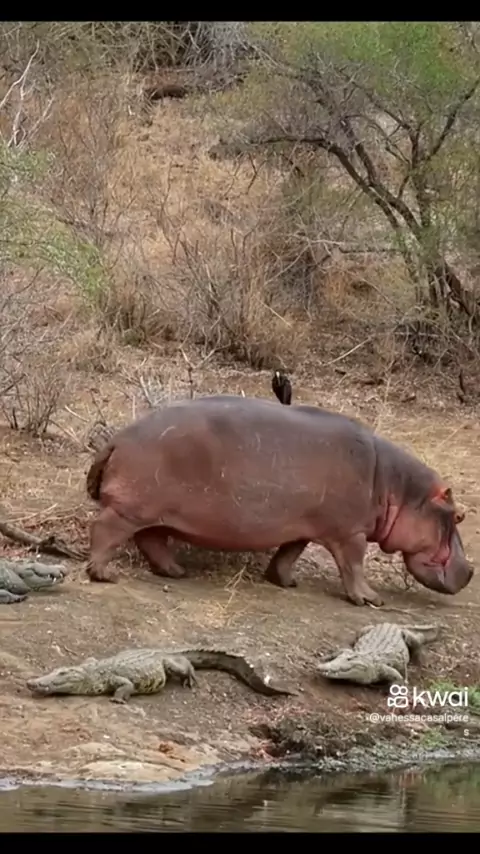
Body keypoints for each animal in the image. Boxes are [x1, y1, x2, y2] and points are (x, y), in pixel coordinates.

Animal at [84, 395, 472, 606]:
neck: (398, 488)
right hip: (131, 508)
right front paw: (371, 599)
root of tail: (117, 438)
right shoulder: (351, 532)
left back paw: (177, 572)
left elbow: (289, 554)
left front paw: (286, 582)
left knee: (151, 540)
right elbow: (354, 565)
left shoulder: (302, 526)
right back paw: (104, 575)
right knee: (106, 530)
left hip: (152, 510)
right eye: (459, 516)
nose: (470, 571)